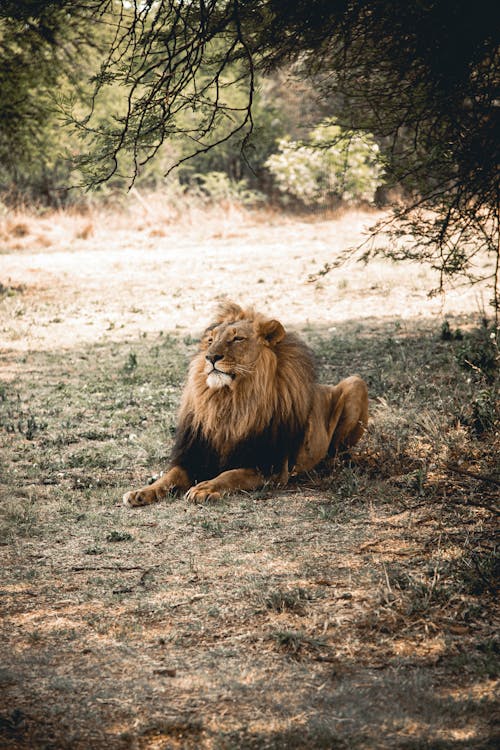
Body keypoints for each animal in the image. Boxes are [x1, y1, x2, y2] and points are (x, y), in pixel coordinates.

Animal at [123, 302, 370, 508]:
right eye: (211, 340)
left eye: (237, 339)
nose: (210, 357)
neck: (230, 403)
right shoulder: (194, 456)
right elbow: (169, 476)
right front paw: (141, 492)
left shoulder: (269, 467)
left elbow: (230, 475)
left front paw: (204, 488)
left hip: (356, 383)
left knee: (337, 452)